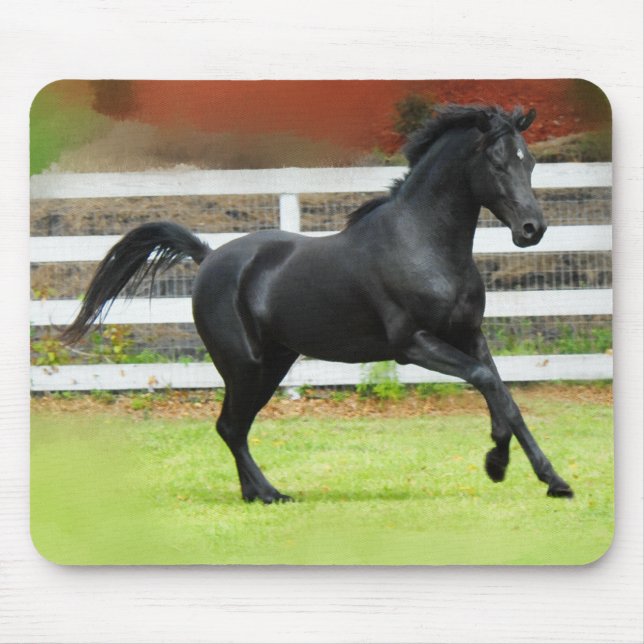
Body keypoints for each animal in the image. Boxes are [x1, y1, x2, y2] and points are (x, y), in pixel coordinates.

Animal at [62, 104, 574, 503]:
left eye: (530, 163)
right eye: (497, 162)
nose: (532, 230)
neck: (422, 243)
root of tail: (208, 257)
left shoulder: (469, 335)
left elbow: (504, 396)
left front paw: (551, 480)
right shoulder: (413, 345)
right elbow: (487, 382)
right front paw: (496, 464)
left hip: (274, 363)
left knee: (235, 426)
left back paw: (256, 493)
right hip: (245, 365)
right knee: (229, 426)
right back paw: (269, 493)